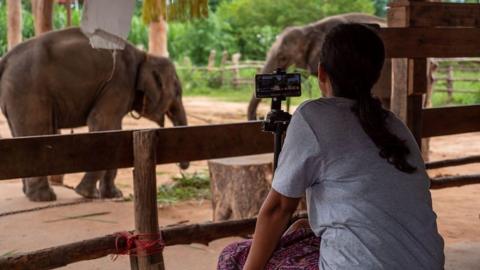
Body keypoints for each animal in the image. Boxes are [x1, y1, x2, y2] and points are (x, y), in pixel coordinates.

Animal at [0, 28, 190, 201]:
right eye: (177, 93)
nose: (183, 168)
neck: (145, 56)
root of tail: (5, 61)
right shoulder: (119, 83)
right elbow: (102, 123)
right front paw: (87, 194)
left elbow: (114, 130)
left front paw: (113, 195)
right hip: (27, 91)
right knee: (38, 132)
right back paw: (44, 197)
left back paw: (29, 194)